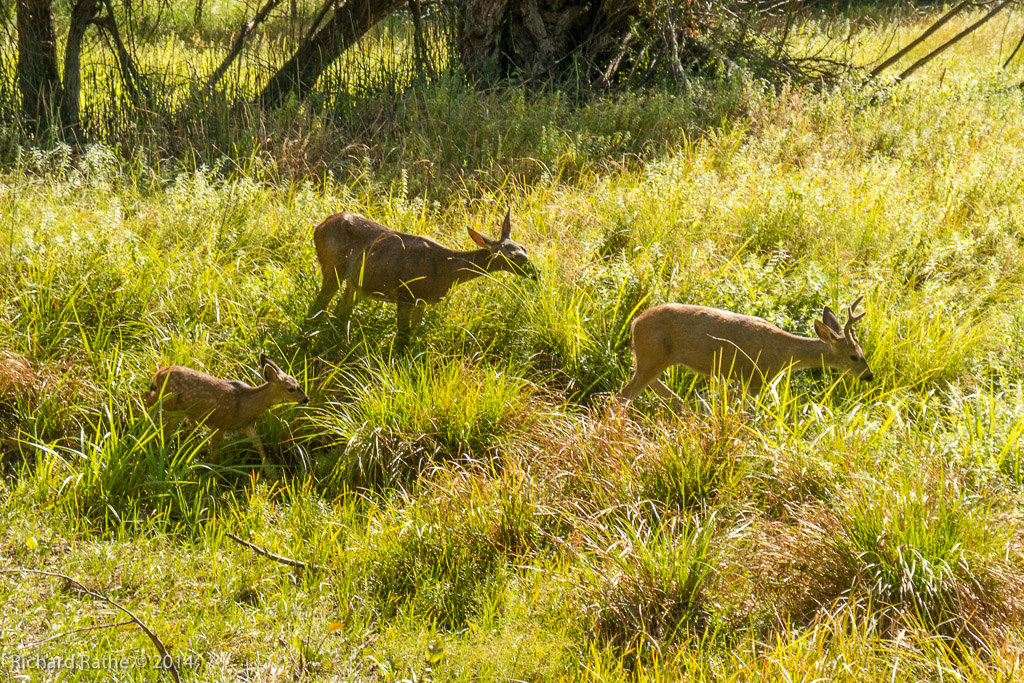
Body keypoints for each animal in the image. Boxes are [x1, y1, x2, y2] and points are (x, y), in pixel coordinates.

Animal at [143, 354, 309, 462]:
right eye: (290, 389)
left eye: (298, 383)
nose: (306, 399)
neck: (246, 403)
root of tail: (159, 372)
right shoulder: (218, 423)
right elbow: (215, 455)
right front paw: (213, 478)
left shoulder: (246, 424)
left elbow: (259, 445)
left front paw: (270, 473)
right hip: (167, 399)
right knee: (146, 397)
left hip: (176, 409)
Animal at [307, 209, 537, 345]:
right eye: (512, 256)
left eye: (525, 248)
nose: (535, 273)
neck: (445, 270)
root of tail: (318, 227)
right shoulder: (406, 294)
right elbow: (403, 336)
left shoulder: (422, 300)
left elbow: (415, 334)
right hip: (333, 267)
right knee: (318, 305)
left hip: (355, 282)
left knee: (340, 311)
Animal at [617, 296, 873, 406]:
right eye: (854, 356)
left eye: (863, 352)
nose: (869, 376)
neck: (785, 354)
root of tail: (634, 323)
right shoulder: (756, 379)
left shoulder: (748, 381)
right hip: (651, 355)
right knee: (623, 394)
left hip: (652, 358)